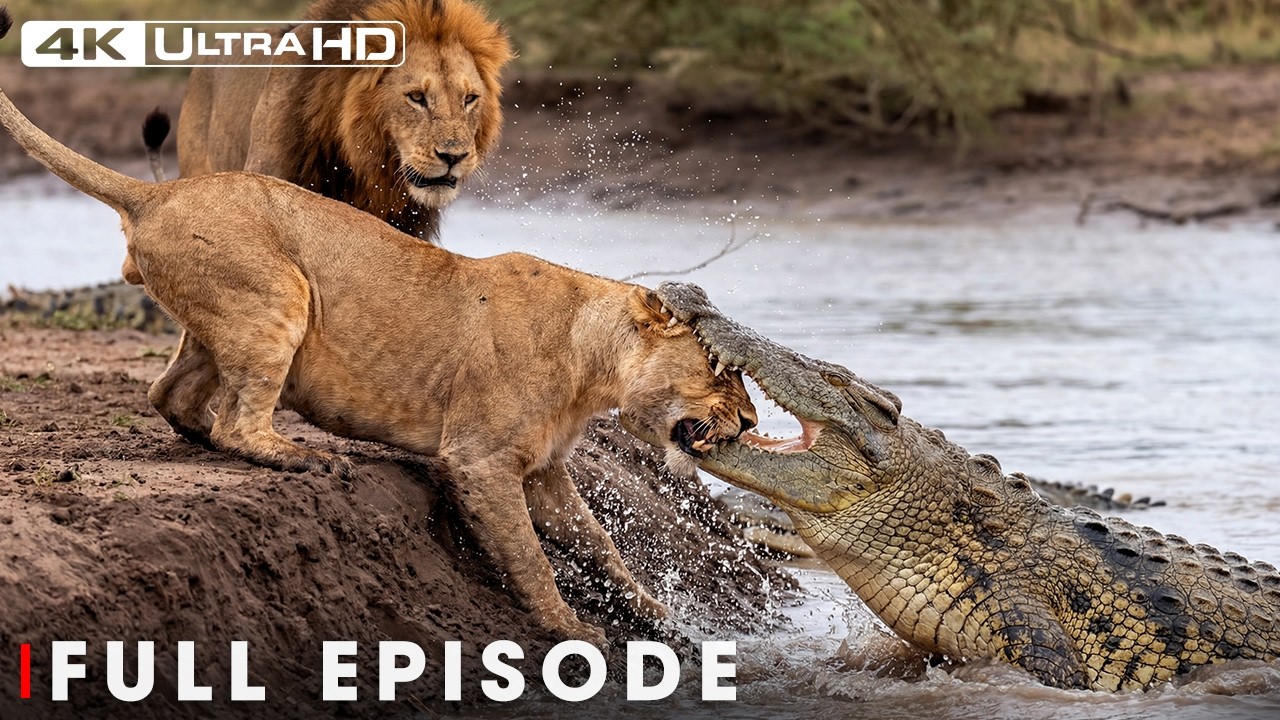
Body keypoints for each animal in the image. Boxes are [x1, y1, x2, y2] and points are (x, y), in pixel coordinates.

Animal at [0, 35, 757, 644]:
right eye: (721, 371)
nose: (750, 421)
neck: (592, 358)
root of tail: (157, 194)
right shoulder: (480, 460)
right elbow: (532, 558)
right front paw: (573, 631)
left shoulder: (543, 469)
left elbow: (602, 546)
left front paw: (658, 616)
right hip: (281, 295)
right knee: (236, 424)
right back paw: (299, 456)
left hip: (222, 319)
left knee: (173, 394)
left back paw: (205, 434)